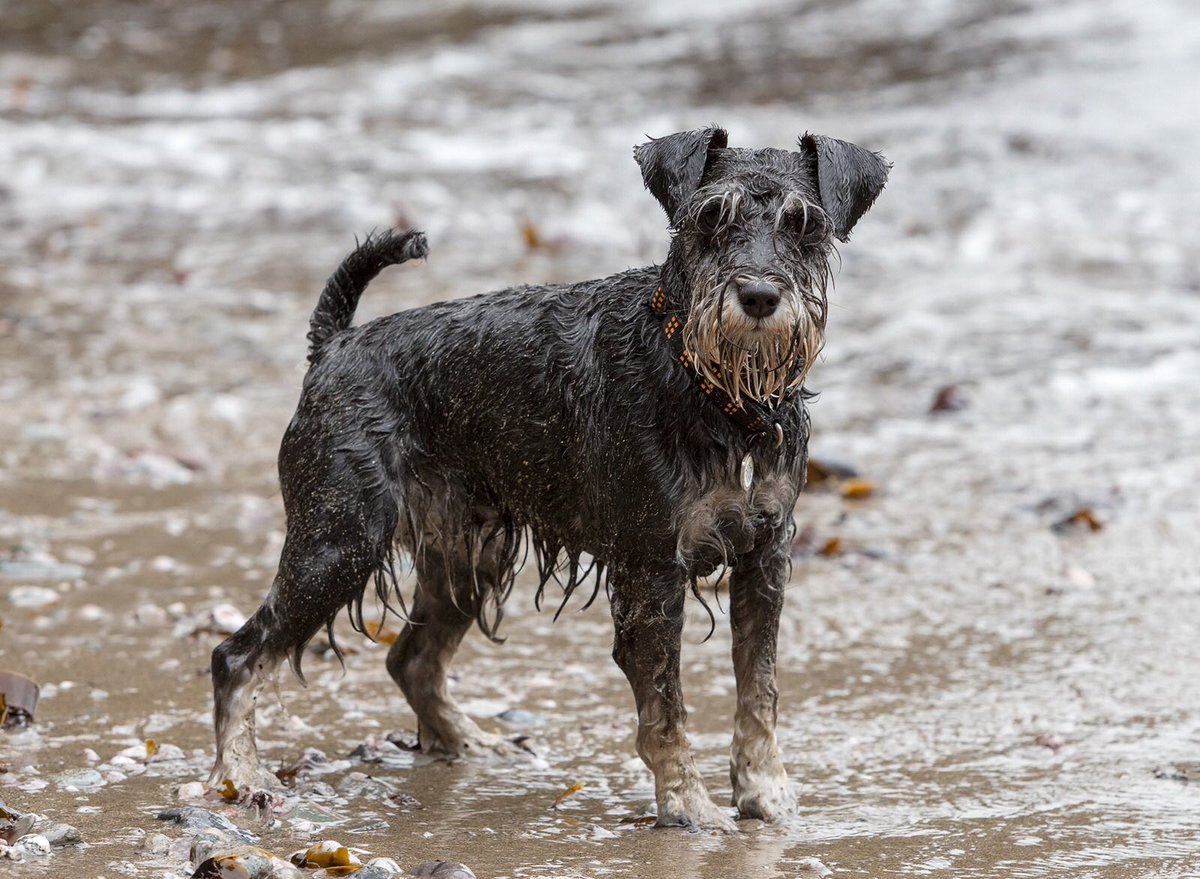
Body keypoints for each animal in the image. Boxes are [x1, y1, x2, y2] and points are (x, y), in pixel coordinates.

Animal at [206, 125, 888, 830]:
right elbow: (665, 709)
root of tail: (333, 347)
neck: (719, 394)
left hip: (470, 551)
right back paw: (241, 775)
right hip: (339, 541)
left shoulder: (765, 556)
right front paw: (689, 804)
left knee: (412, 659)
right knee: (238, 656)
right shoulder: (651, 570)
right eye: (710, 219)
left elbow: (759, 688)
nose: (758, 297)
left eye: (804, 225)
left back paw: (471, 741)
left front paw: (765, 792)